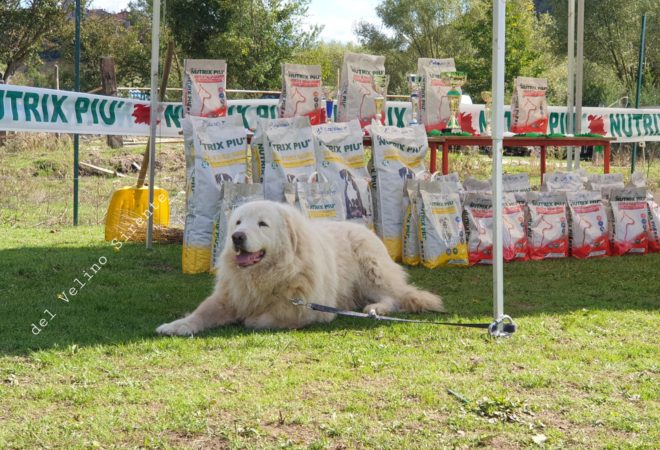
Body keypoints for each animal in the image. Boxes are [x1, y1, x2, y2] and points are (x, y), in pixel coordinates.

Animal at [157, 200, 444, 334]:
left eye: (262, 224)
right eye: (238, 222)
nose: (237, 237)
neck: (266, 276)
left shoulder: (307, 310)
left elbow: (268, 318)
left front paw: (250, 318)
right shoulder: (229, 297)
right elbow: (201, 313)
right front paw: (177, 326)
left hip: (371, 271)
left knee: (394, 297)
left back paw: (376, 308)